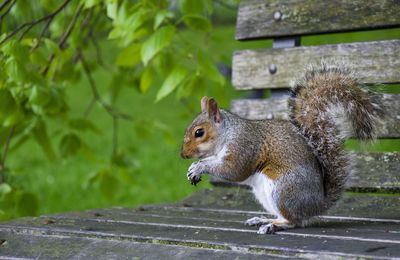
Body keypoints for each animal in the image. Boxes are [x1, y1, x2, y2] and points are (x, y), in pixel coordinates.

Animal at [180, 63, 380, 234]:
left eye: (199, 132)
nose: (183, 155)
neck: (227, 134)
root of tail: (316, 205)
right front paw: (193, 168)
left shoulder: (243, 146)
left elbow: (233, 170)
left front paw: (199, 166)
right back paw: (263, 220)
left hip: (283, 190)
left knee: (294, 221)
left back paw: (273, 225)